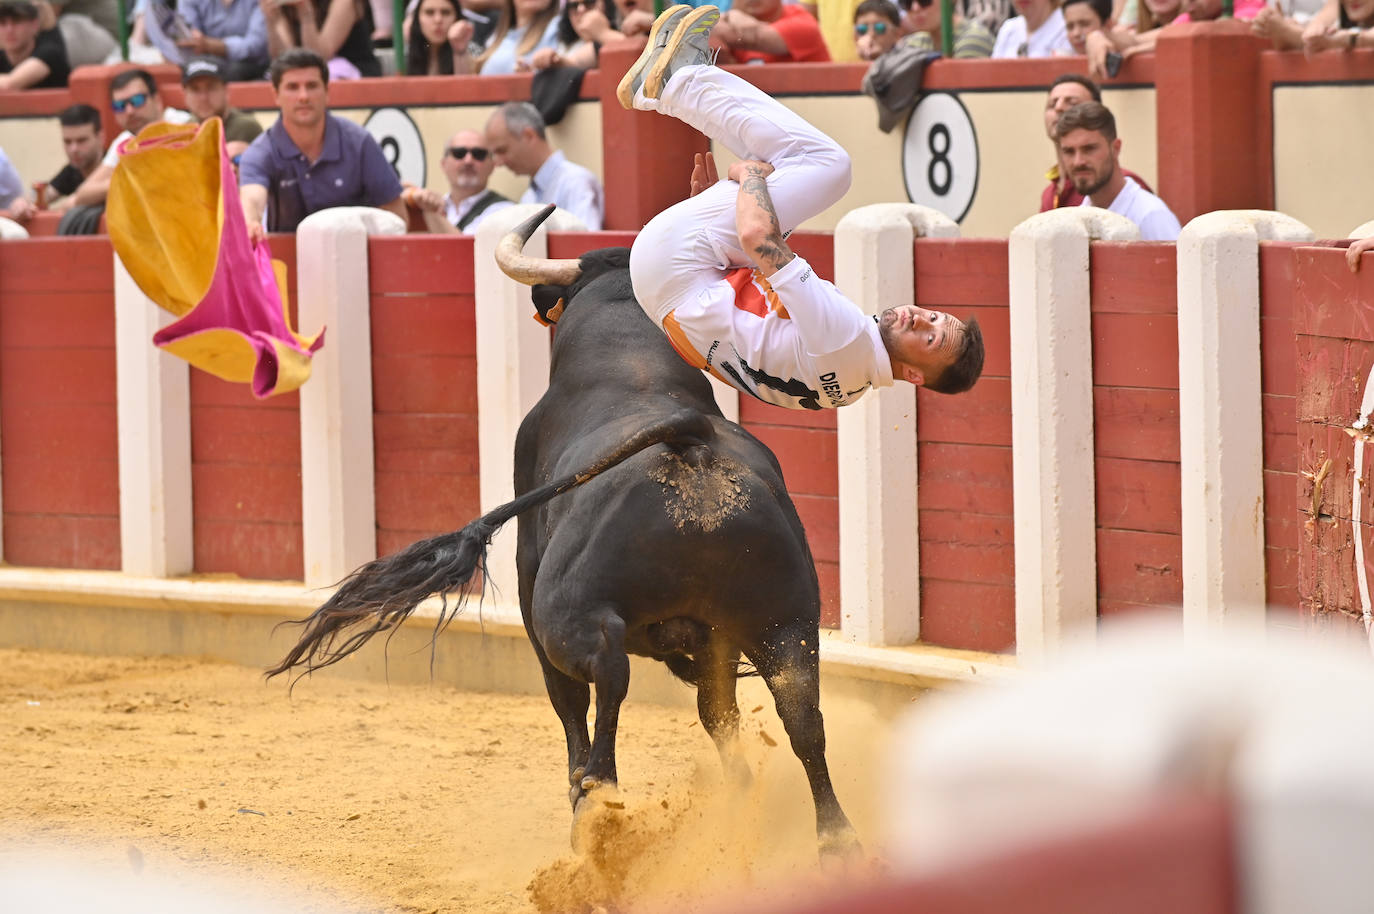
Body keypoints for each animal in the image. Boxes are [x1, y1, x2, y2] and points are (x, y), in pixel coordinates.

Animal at [270, 204, 857, 857]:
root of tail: (689, 440)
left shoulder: (534, 595)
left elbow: (569, 704)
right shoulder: (721, 639)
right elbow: (719, 712)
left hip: (567, 613)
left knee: (603, 679)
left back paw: (597, 801)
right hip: (787, 619)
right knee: (801, 718)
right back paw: (831, 836)